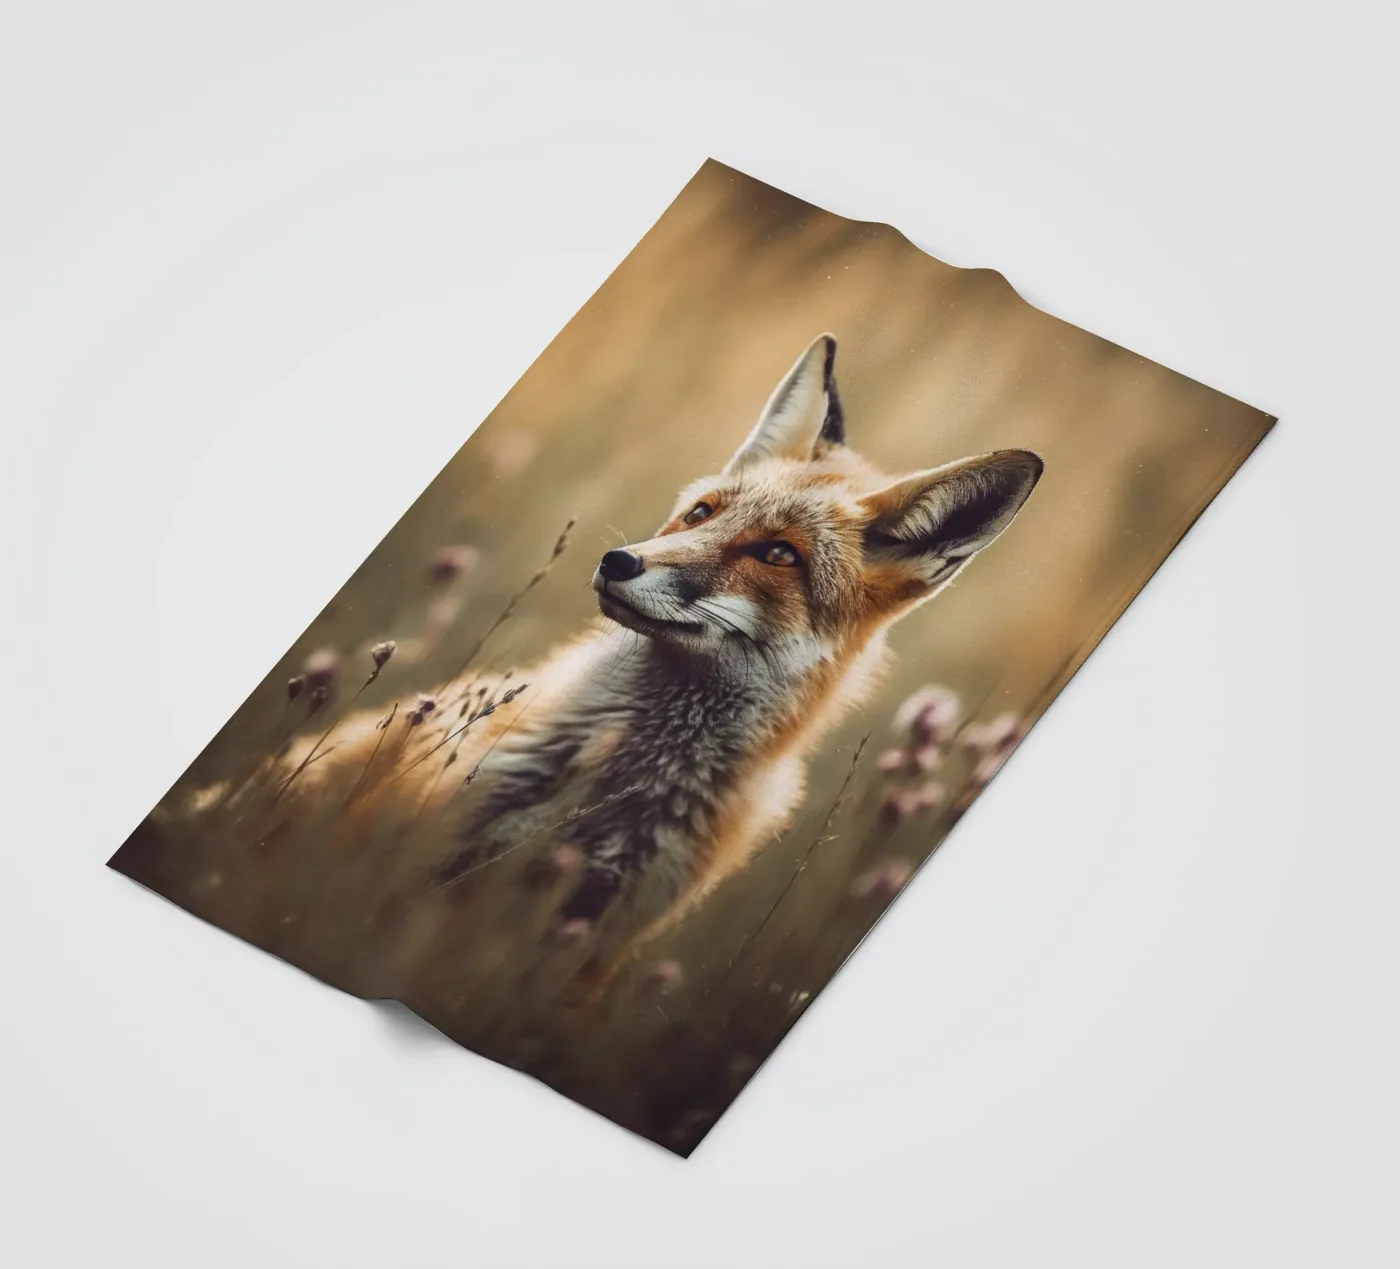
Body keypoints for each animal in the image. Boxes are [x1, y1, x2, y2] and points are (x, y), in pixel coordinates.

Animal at [233, 333, 1042, 970]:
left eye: (778, 554)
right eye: (702, 513)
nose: (617, 561)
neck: (618, 791)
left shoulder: (592, 941)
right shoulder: (421, 846)